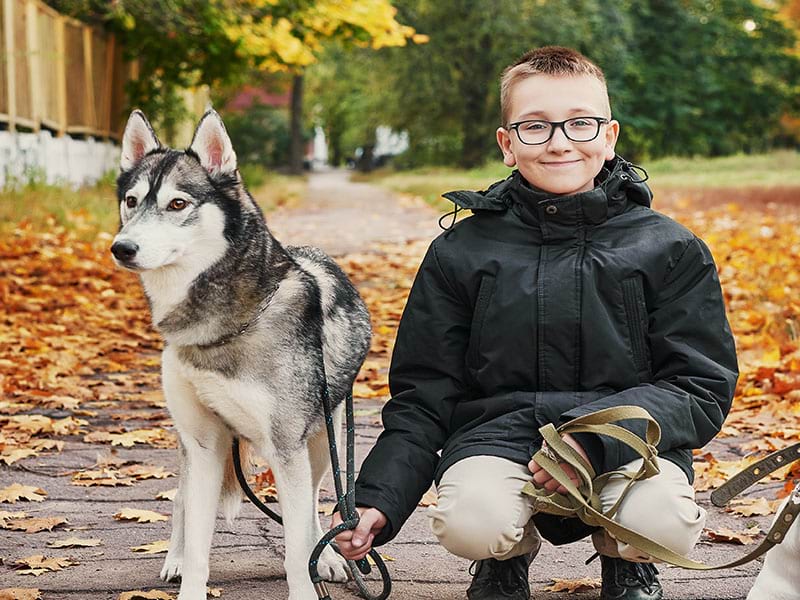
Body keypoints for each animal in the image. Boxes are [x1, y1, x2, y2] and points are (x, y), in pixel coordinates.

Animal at [111, 109, 374, 600]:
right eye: (132, 201)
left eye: (178, 204)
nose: (122, 248)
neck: (224, 325)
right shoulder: (204, 446)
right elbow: (198, 542)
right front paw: (187, 575)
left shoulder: (289, 448)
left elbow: (297, 546)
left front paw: (309, 579)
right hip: (195, 447)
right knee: (182, 498)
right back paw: (174, 558)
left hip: (320, 442)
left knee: (315, 504)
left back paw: (328, 557)